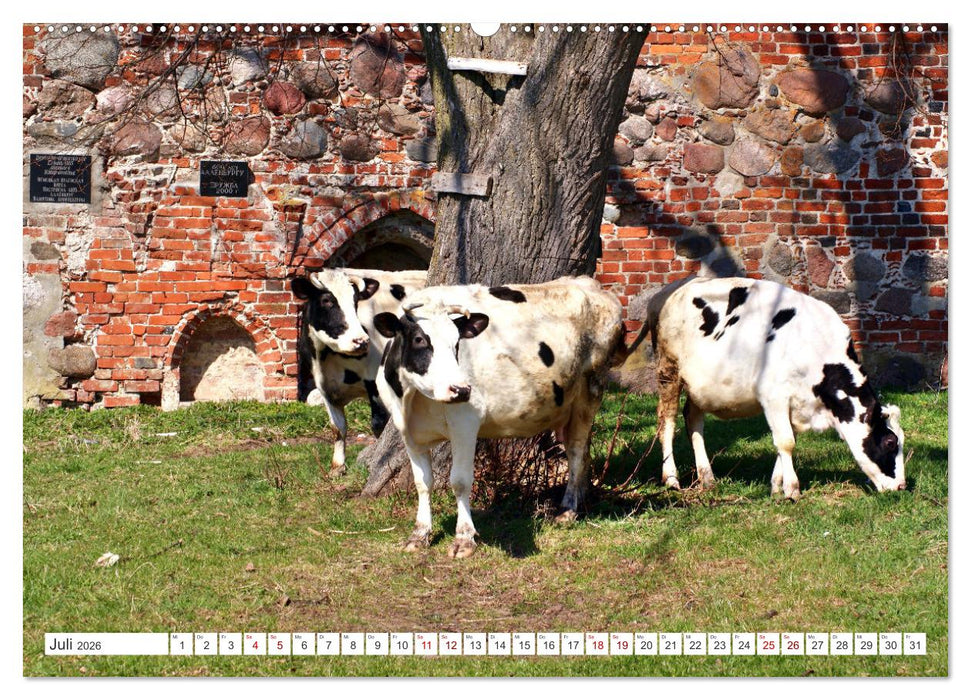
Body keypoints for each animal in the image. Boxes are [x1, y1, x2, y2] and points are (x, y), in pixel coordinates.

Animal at [291, 268, 427, 473]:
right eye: (327, 300)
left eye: (355, 302)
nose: (360, 341)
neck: (327, 358)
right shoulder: (324, 388)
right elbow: (337, 427)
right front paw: (338, 466)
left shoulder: (374, 381)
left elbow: (378, 424)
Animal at [372, 276, 642, 558]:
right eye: (418, 340)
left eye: (457, 344)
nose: (461, 389)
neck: (411, 398)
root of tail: (589, 284)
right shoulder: (409, 432)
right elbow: (423, 483)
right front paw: (420, 533)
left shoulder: (465, 423)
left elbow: (460, 481)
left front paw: (464, 538)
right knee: (578, 449)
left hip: (590, 390)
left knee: (577, 452)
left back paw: (568, 510)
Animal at [640, 276, 906, 498]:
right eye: (890, 443)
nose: (902, 486)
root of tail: (670, 290)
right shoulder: (773, 397)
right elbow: (786, 442)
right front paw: (792, 489)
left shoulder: (795, 404)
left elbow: (785, 441)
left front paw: (777, 486)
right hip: (668, 372)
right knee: (667, 421)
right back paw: (671, 478)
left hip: (699, 387)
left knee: (693, 419)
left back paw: (707, 476)